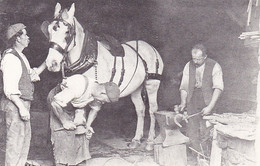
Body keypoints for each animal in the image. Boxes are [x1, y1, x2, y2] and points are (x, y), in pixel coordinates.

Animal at [44, 2, 162, 150]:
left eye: (67, 32)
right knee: (140, 109)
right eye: (49, 30)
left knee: (152, 110)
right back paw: (136, 139)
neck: (88, 57)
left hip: (152, 85)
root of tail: (151, 48)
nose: (51, 63)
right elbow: (80, 111)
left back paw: (150, 141)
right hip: (136, 88)